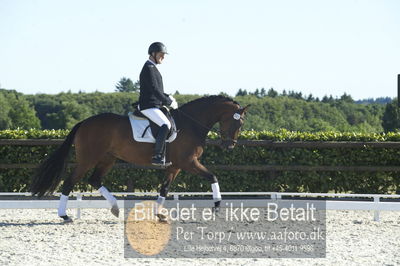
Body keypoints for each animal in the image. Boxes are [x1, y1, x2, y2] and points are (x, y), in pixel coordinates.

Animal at [31, 95, 248, 222]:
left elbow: (164, 189)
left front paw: (159, 214)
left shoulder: (175, 166)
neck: (191, 124)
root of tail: (84, 122)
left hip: (108, 159)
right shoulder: (189, 162)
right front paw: (217, 207)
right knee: (70, 181)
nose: (229, 146)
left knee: (94, 180)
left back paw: (115, 208)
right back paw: (64, 215)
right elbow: (213, 177)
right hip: (88, 160)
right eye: (237, 123)